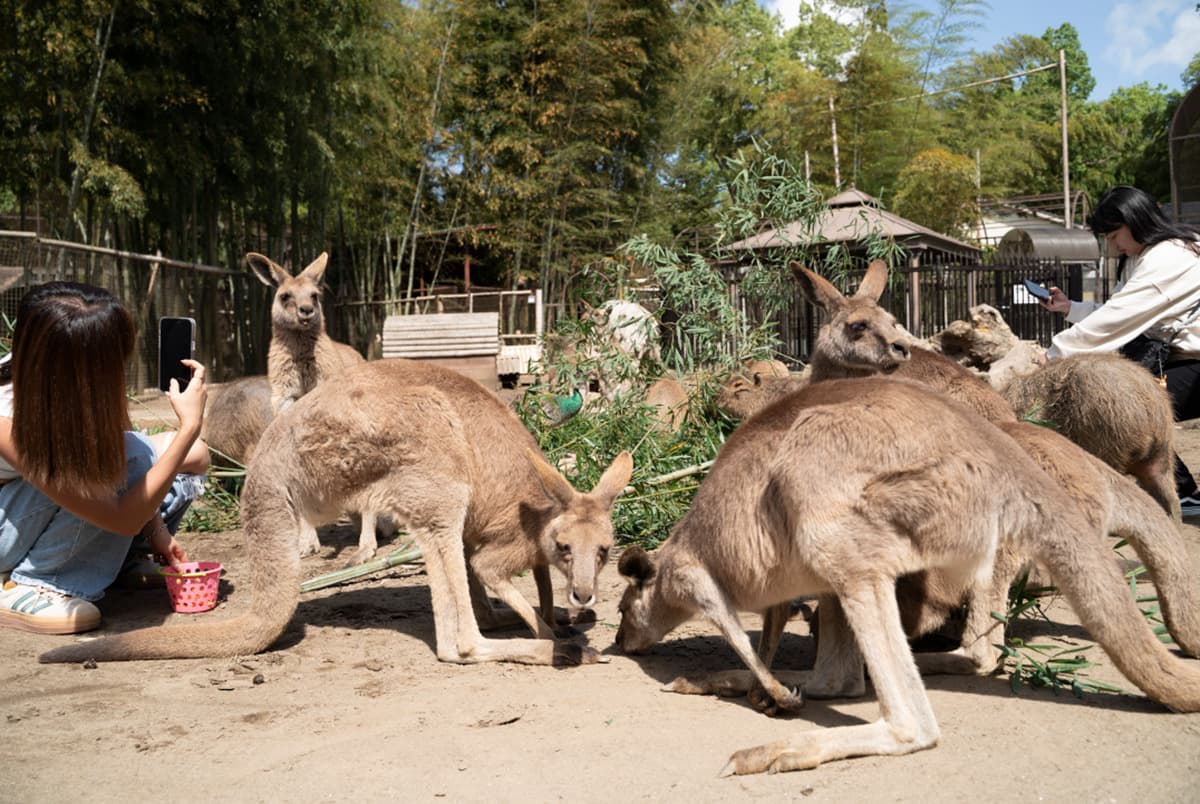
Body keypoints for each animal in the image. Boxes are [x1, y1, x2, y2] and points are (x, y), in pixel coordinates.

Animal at [40, 358, 633, 667]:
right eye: (566, 546)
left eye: (606, 551)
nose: (586, 595)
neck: (538, 513)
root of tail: (270, 460)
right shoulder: (500, 540)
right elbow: (491, 574)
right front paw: (549, 628)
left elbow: (519, 583)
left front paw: (554, 615)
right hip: (423, 450)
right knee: (457, 646)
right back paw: (547, 652)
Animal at [615, 377, 1200, 774]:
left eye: (622, 607)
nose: (620, 643)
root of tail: (1019, 470)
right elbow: (773, 633)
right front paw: (767, 686)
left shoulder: (694, 575)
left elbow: (737, 626)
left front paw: (773, 693)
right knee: (839, 678)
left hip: (836, 495)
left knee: (917, 720)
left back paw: (778, 747)